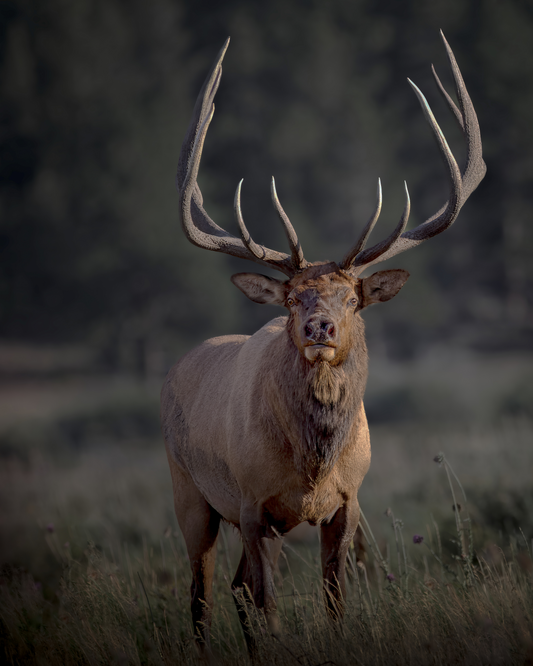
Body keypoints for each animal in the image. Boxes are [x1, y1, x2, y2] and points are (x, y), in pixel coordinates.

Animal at [160, 32, 484, 648]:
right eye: (292, 300)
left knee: (232, 590)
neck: (314, 463)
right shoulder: (253, 504)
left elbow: (334, 601)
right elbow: (269, 605)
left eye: (351, 300)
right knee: (201, 594)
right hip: (189, 491)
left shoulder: (348, 504)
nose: (319, 327)